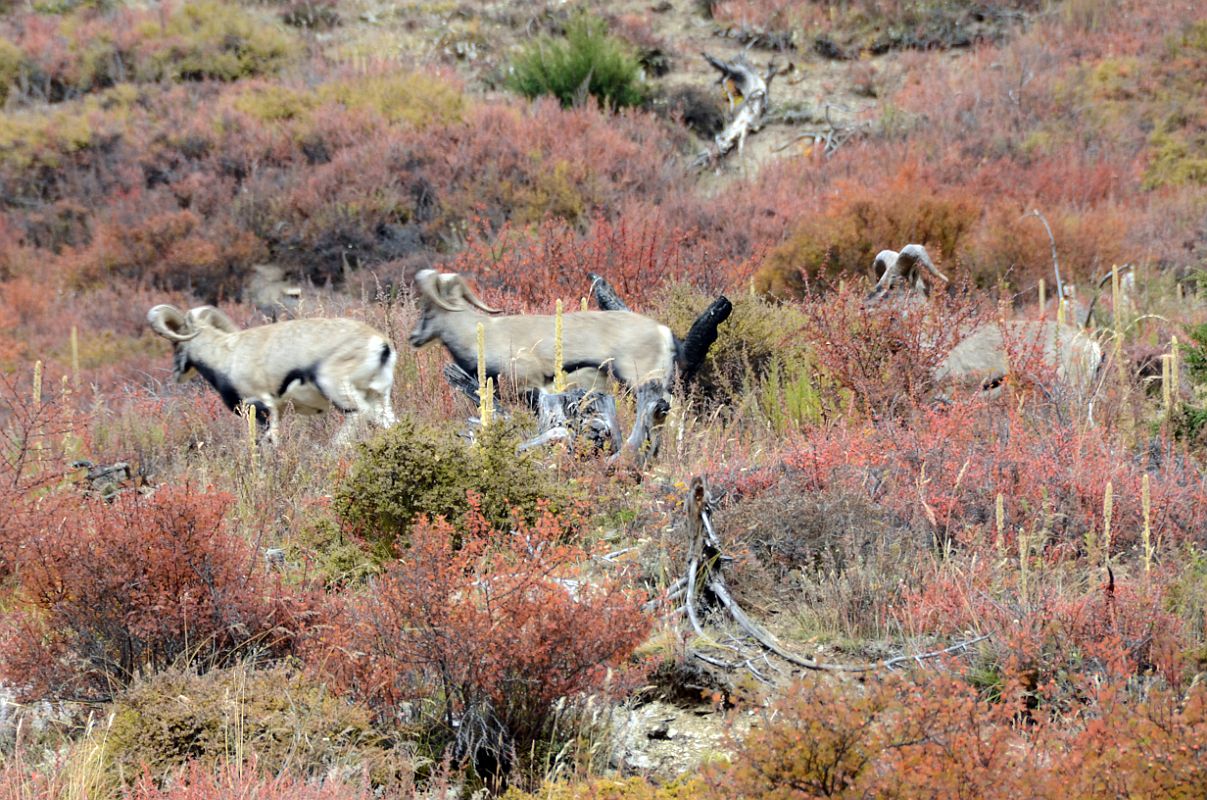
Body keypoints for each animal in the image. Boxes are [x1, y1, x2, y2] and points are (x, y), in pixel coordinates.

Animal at [147, 305, 395, 446]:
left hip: (337, 390)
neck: (226, 355)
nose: (176, 372)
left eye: (175, 341)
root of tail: (380, 344)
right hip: (379, 395)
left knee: (357, 415)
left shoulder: (261, 407)